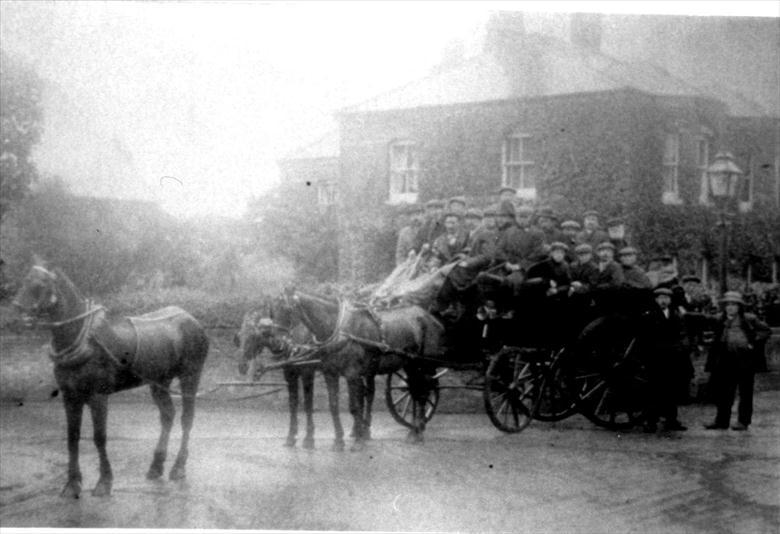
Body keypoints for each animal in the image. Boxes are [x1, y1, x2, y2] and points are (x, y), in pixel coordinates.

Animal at [12, 262, 207, 500]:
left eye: (40, 284)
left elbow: (99, 437)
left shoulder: (98, 396)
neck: (85, 338)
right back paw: (156, 466)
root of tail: (191, 319)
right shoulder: (70, 396)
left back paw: (178, 468)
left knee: (187, 419)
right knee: (167, 416)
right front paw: (72, 484)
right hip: (159, 380)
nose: (17, 311)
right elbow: (72, 437)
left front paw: (104, 482)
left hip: (190, 376)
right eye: (24, 280)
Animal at [233, 302, 346, 452]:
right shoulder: (290, 374)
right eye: (239, 337)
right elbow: (293, 404)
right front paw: (291, 437)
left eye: (254, 336)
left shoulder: (307, 372)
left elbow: (308, 404)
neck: (293, 341)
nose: (242, 366)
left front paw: (309, 439)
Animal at [278, 288, 444, 448]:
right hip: (411, 365)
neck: (339, 330)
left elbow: (354, 406)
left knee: (422, 394)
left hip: (424, 365)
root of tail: (429, 317)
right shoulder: (330, 373)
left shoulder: (351, 374)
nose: (282, 346)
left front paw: (358, 441)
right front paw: (339, 440)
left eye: (287, 309)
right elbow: (333, 405)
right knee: (416, 392)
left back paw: (418, 433)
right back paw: (414, 430)